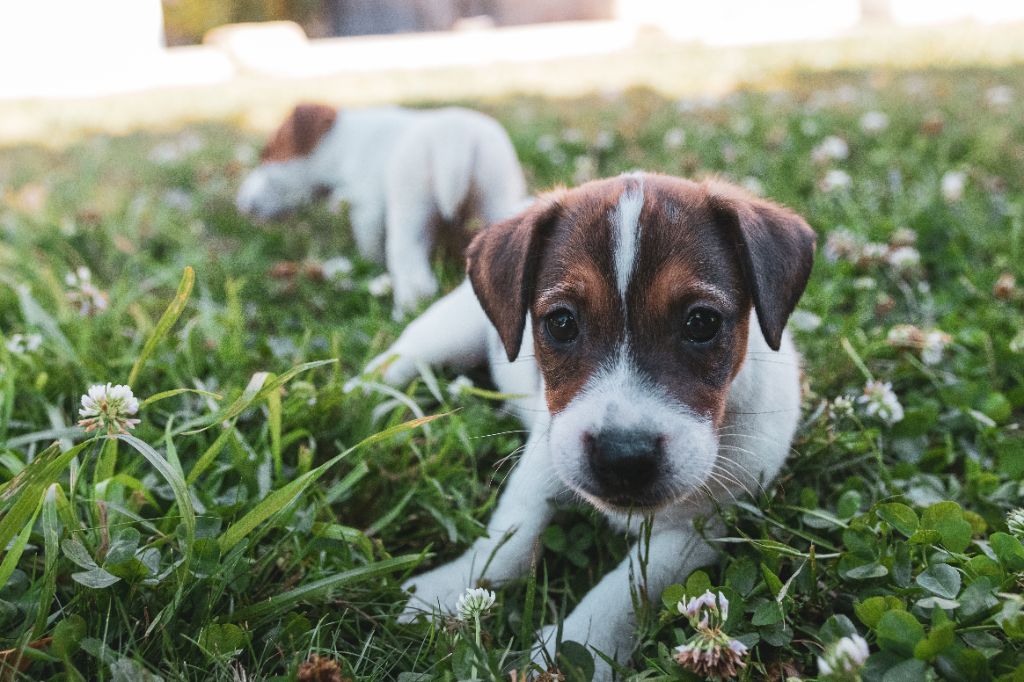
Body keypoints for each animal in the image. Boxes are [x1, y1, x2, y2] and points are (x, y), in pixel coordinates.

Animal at [237, 102, 528, 315]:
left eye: (266, 155)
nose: (240, 204)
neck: (343, 143)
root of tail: (457, 136)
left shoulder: (367, 209)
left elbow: (370, 244)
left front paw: (370, 263)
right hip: (497, 199)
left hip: (410, 213)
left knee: (413, 273)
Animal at [360, 171, 815, 675]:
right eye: (561, 323)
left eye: (701, 322)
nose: (623, 457)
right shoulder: (544, 458)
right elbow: (510, 540)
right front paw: (446, 588)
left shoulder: (701, 529)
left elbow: (630, 587)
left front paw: (575, 645)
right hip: (450, 330)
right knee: (401, 355)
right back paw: (363, 397)